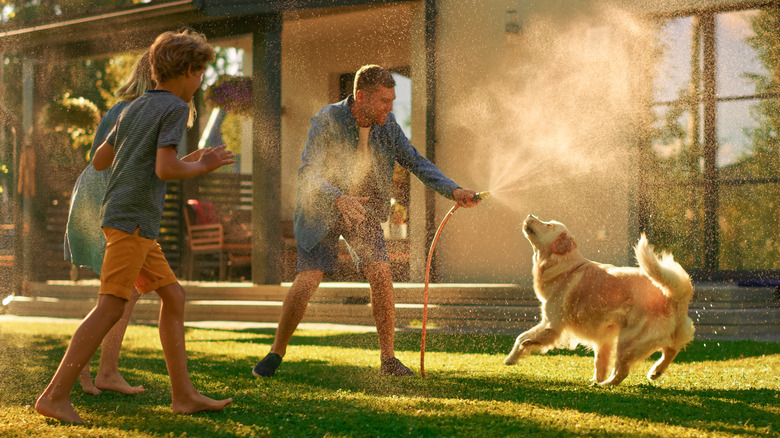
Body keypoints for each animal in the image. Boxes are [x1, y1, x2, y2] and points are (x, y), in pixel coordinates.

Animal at [506, 214, 696, 384]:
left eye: (548, 225)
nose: (530, 215)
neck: (566, 266)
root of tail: (673, 295)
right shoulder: (604, 337)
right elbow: (600, 361)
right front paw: (595, 379)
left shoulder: (552, 325)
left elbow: (522, 338)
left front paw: (512, 358)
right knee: (671, 350)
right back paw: (655, 371)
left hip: (627, 340)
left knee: (622, 371)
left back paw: (606, 385)